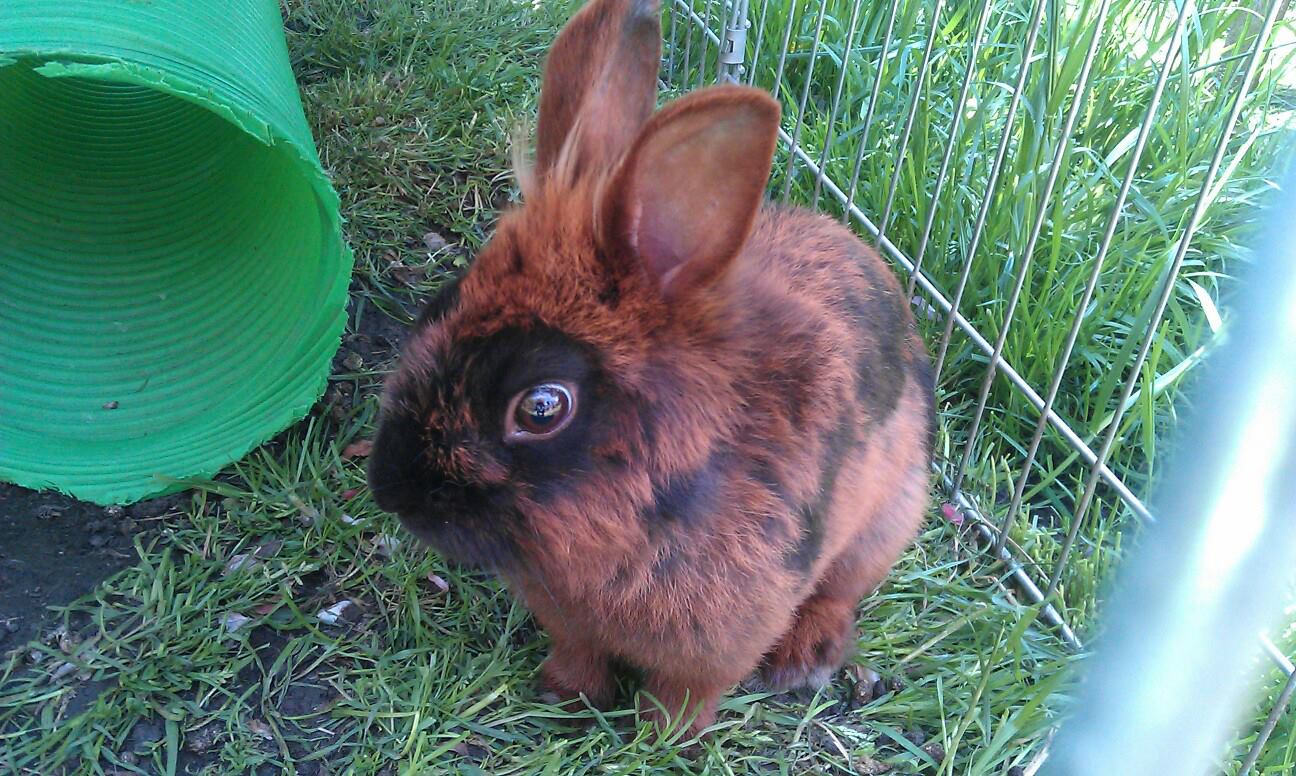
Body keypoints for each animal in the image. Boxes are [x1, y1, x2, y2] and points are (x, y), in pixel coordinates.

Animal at [367, 0, 935, 737]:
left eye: (541, 408)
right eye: (434, 308)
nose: (391, 491)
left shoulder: (721, 638)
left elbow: (688, 690)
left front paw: (666, 737)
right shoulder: (569, 621)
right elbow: (577, 652)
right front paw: (567, 696)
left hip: (886, 521)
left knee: (840, 593)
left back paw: (803, 660)